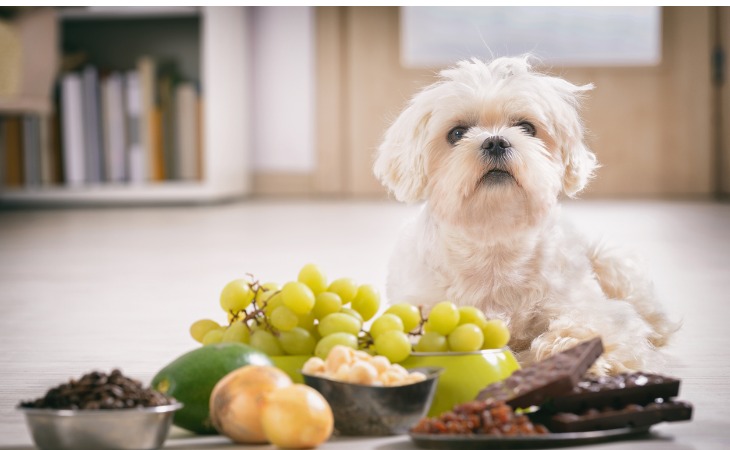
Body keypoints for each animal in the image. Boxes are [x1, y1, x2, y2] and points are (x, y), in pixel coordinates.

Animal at [376, 57, 676, 376]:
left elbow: (591, 326)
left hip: (610, 263)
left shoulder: (591, 307)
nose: (495, 141)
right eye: (456, 133)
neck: (495, 237)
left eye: (526, 127)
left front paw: (570, 350)